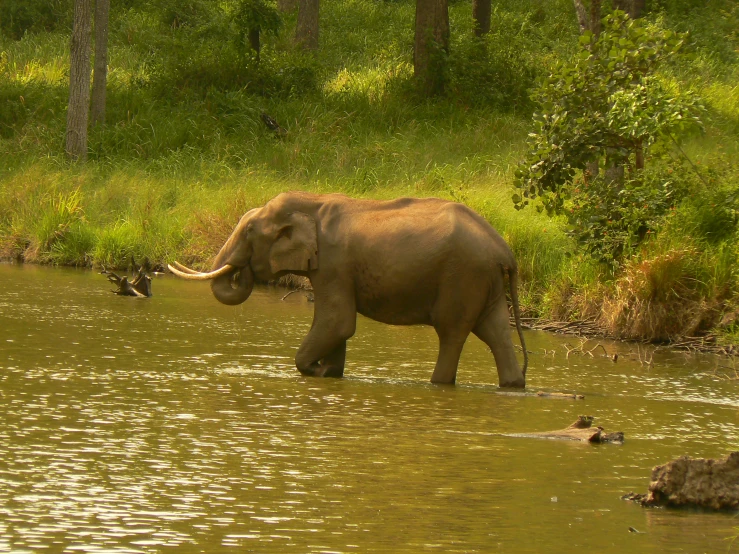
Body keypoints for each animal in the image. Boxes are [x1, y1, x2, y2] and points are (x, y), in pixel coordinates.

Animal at [169, 192, 528, 386]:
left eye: (248, 232)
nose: (241, 269)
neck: (313, 202)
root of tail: (504, 251)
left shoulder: (334, 264)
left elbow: (337, 322)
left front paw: (316, 370)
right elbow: (336, 327)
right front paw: (330, 373)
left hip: (462, 277)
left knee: (452, 332)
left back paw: (438, 383)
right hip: (486, 282)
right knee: (496, 330)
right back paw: (513, 385)